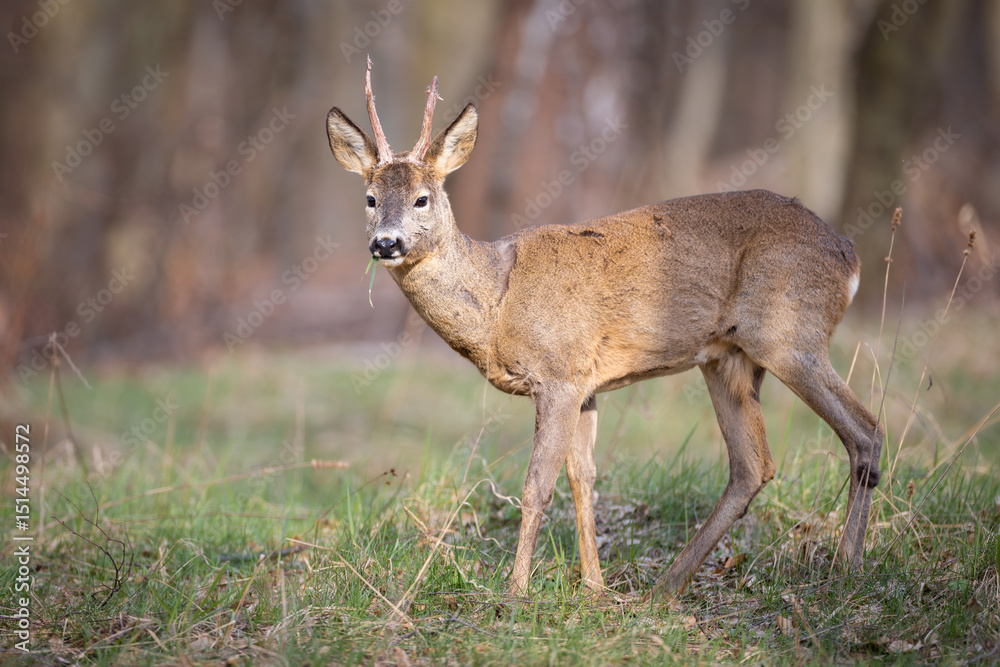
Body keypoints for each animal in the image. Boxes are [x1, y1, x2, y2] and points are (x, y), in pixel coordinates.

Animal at [325, 59, 884, 600]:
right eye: (370, 198)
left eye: (422, 198)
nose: (386, 243)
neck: (497, 305)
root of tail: (850, 256)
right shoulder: (586, 384)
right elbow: (582, 478)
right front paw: (594, 587)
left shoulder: (558, 374)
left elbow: (537, 485)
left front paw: (515, 592)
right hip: (728, 358)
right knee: (753, 466)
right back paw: (666, 587)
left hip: (790, 334)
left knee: (865, 430)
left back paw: (846, 568)